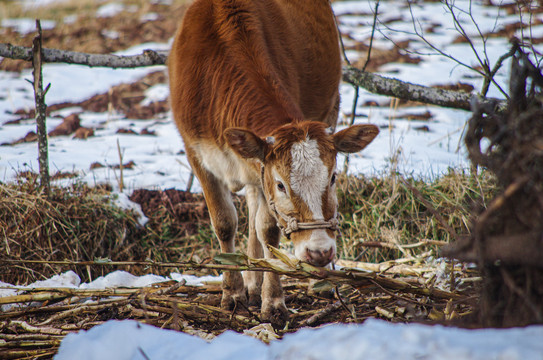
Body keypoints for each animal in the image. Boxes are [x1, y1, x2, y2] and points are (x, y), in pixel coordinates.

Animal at [169, 0, 378, 326]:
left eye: (333, 178)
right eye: (281, 185)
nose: (320, 251)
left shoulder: (262, 167)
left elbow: (268, 231)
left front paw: (273, 301)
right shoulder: (198, 155)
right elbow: (224, 223)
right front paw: (232, 293)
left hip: (331, 104)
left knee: (257, 216)